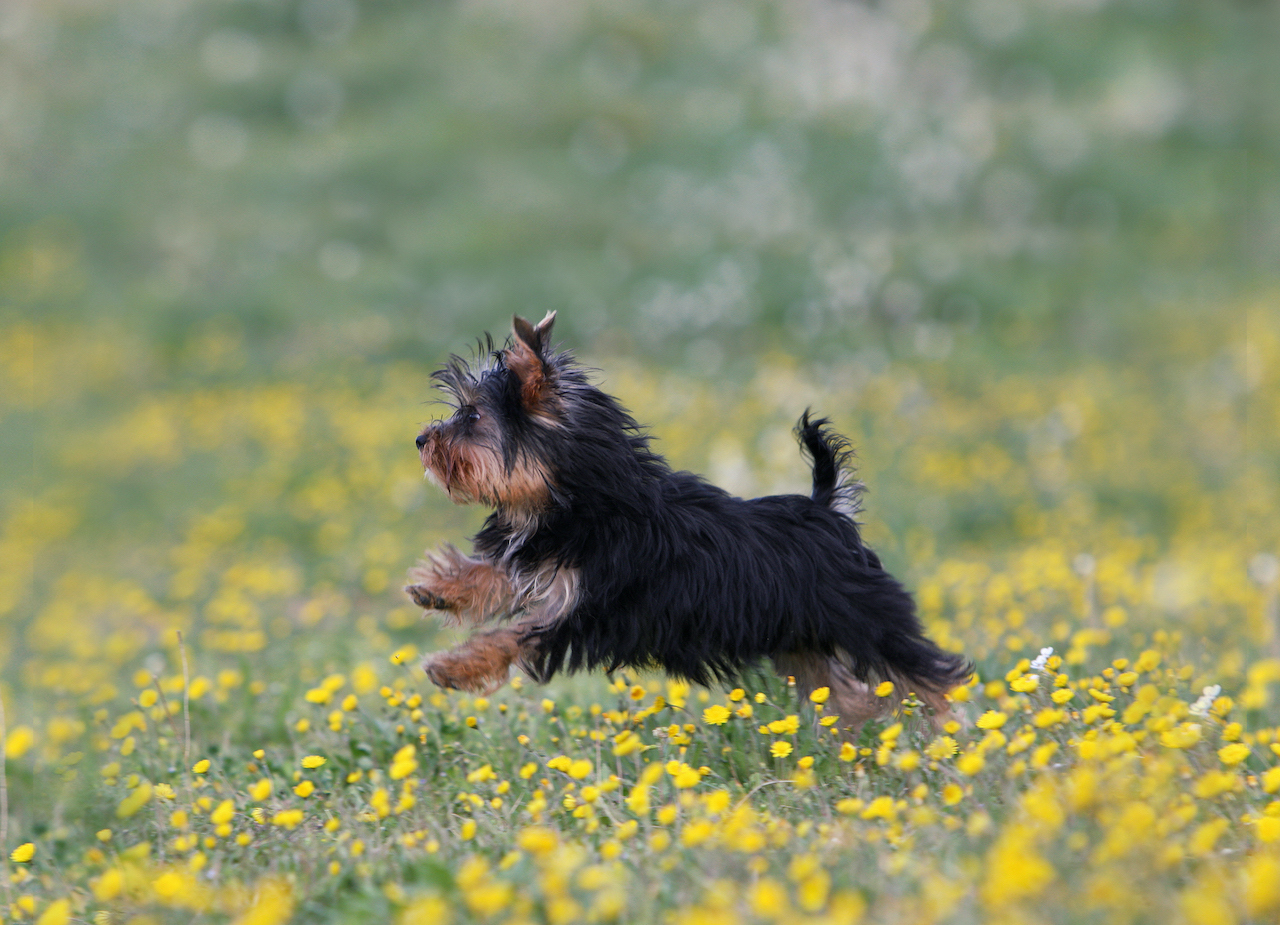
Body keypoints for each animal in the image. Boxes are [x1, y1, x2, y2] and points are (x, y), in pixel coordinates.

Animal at [404, 314, 962, 736]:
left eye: (472, 416)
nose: (420, 439)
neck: (581, 499)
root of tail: (828, 509)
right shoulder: (545, 565)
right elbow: (495, 575)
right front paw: (441, 588)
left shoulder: (589, 607)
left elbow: (514, 636)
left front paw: (451, 667)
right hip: (798, 636)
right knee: (845, 688)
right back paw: (861, 725)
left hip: (864, 613)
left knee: (922, 671)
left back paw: (947, 732)